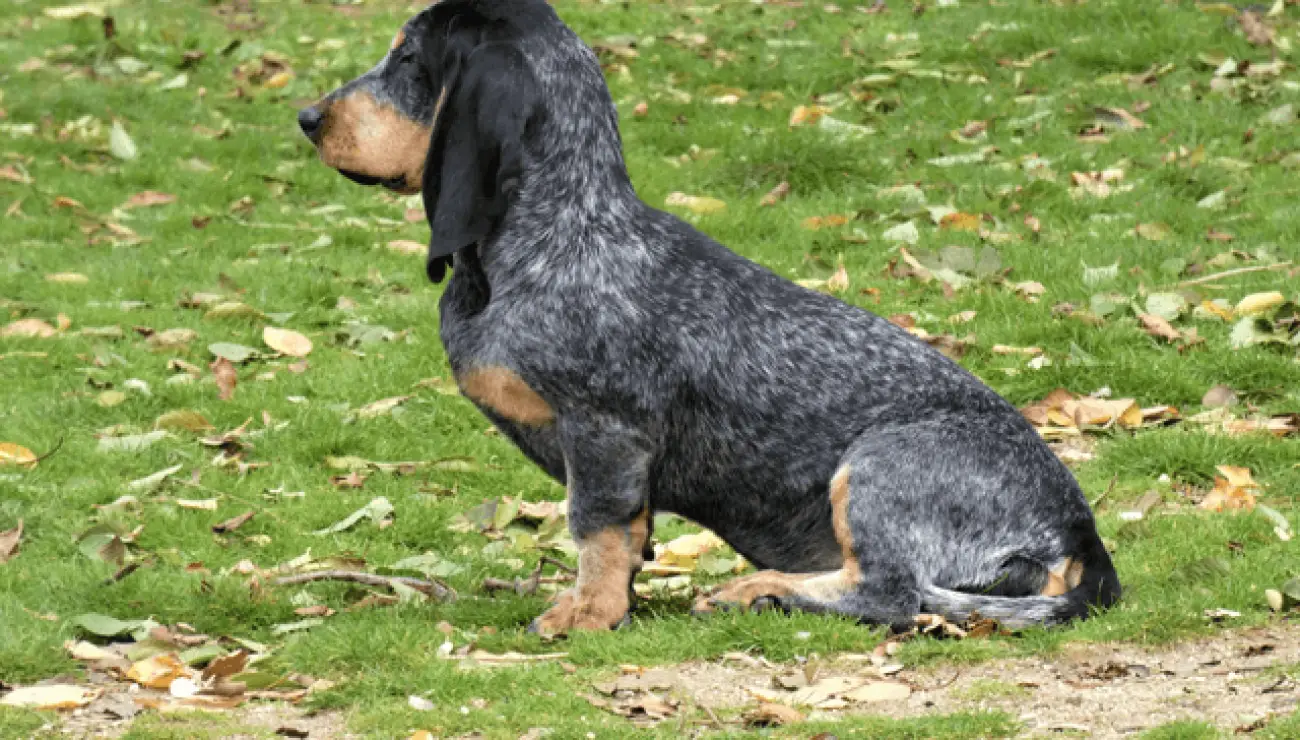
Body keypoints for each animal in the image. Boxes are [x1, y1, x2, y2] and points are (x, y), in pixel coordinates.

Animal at [299, 0, 1123, 634]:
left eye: (409, 58)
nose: (308, 118)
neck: (564, 226)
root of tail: (1084, 537)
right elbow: (627, 534)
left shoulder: (604, 431)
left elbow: (595, 528)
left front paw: (586, 615)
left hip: (876, 467)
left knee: (892, 594)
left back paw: (756, 590)